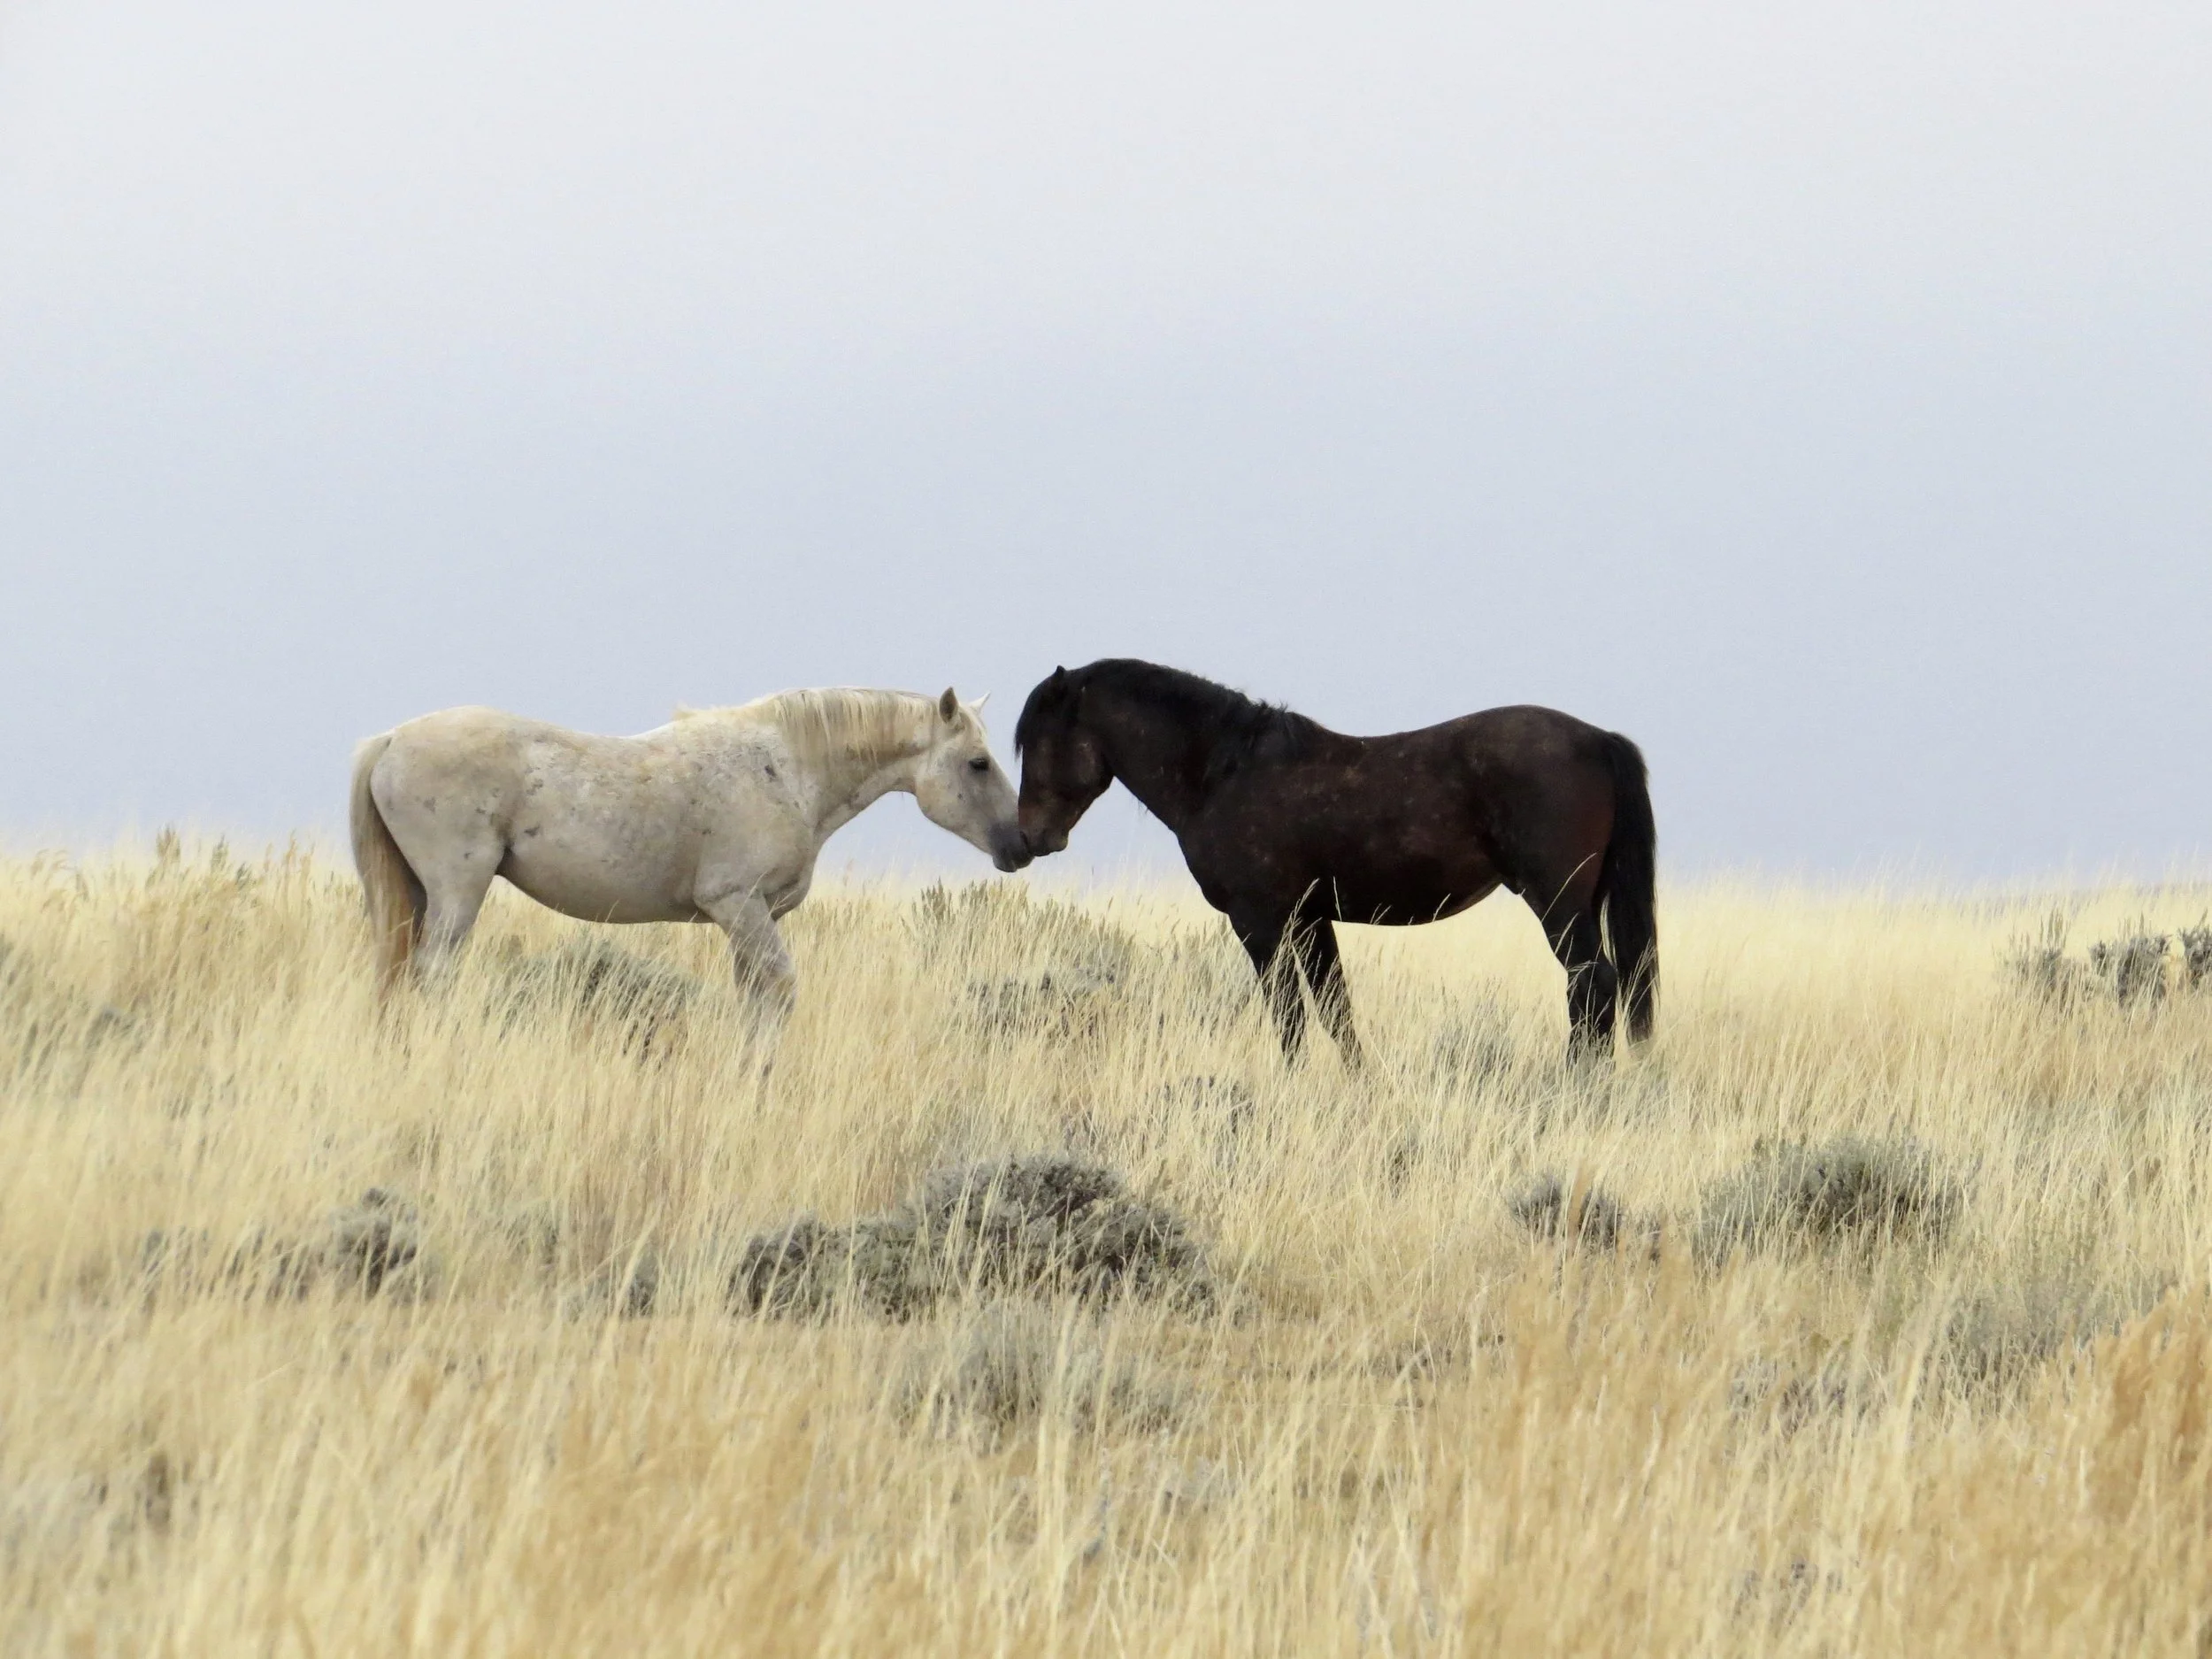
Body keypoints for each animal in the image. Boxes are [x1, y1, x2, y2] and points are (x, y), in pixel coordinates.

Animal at [350, 686, 1030, 1027]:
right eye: (978, 762)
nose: (1021, 844)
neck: (786, 767)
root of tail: (391, 738)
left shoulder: (753, 918)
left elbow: (754, 998)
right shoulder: (740, 906)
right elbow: (779, 991)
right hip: (458, 892)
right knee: (433, 976)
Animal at [1012, 660, 1656, 1063]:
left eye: (1039, 740)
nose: (1030, 837)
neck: (1222, 775)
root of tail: (1598, 739)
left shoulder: (1260, 922)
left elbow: (1291, 1017)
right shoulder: (1311, 920)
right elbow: (1336, 1012)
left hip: (1559, 902)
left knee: (1592, 985)